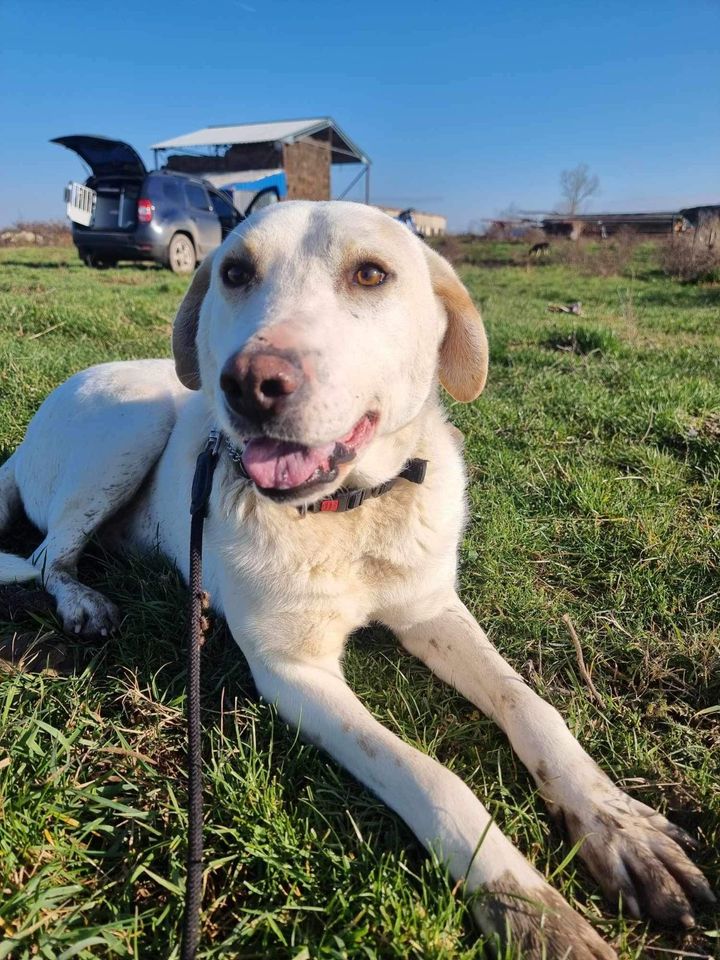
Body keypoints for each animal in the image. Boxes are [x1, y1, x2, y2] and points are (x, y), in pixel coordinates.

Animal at [0, 199, 712, 956]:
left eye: (371, 274)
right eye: (234, 272)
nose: (250, 383)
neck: (349, 514)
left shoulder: (432, 610)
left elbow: (531, 706)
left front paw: (618, 823)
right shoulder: (294, 672)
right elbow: (432, 777)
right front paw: (525, 902)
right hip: (132, 426)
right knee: (47, 557)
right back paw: (83, 602)